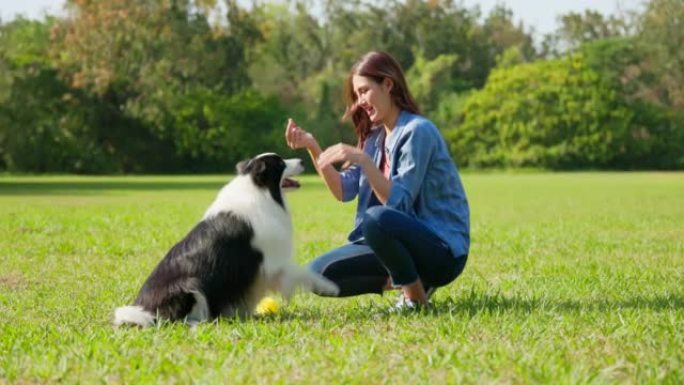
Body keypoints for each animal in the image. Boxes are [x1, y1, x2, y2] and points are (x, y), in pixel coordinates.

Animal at [113, 152, 340, 326]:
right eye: (281, 164)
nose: (302, 160)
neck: (259, 190)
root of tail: (144, 309)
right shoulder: (271, 262)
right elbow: (302, 273)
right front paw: (329, 287)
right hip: (189, 285)